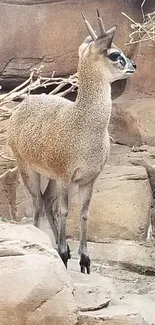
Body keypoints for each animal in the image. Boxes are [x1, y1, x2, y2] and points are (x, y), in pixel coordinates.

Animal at [7, 10, 136, 274]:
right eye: (114, 54)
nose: (133, 65)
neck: (83, 124)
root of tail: (22, 107)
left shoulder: (89, 178)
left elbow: (84, 213)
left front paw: (84, 259)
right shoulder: (66, 175)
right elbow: (64, 210)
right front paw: (64, 254)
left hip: (53, 178)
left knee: (46, 201)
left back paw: (58, 245)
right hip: (28, 169)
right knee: (38, 203)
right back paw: (47, 244)